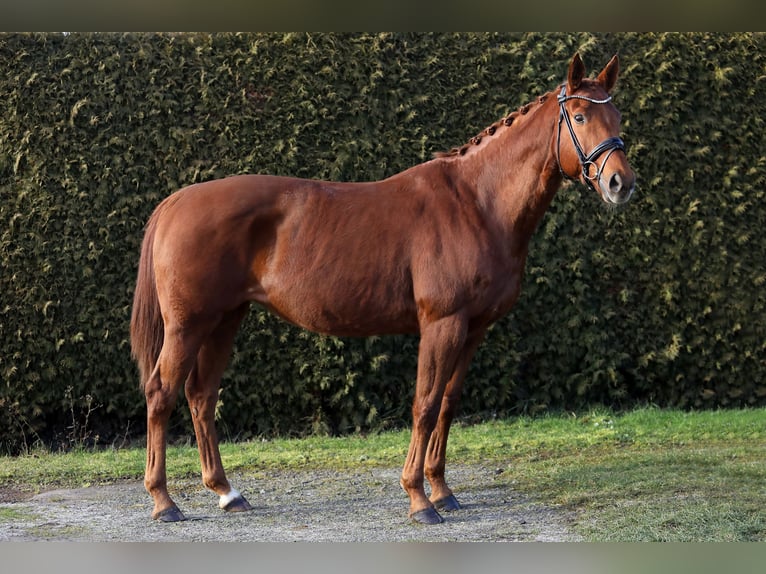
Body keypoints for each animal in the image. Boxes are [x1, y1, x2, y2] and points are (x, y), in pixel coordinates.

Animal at [130, 54, 636, 528]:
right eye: (579, 117)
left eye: (617, 116)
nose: (620, 183)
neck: (476, 203)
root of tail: (176, 201)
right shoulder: (442, 324)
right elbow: (425, 405)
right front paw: (419, 499)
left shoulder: (472, 330)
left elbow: (448, 404)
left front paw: (442, 490)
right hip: (188, 325)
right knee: (162, 393)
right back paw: (164, 501)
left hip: (224, 319)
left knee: (201, 396)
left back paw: (227, 492)